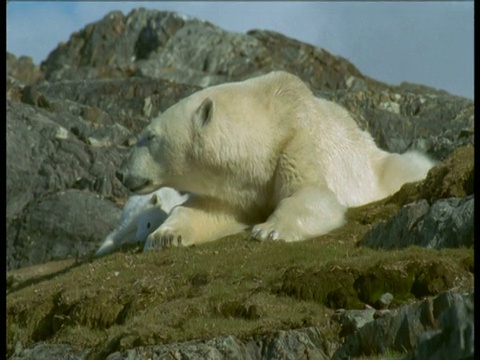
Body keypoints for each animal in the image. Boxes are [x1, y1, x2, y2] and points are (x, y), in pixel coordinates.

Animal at [116, 70, 436, 250]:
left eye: (149, 137)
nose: (120, 173)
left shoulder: (296, 139)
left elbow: (312, 194)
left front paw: (269, 230)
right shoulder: (236, 186)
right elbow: (210, 210)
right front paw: (164, 235)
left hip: (383, 168)